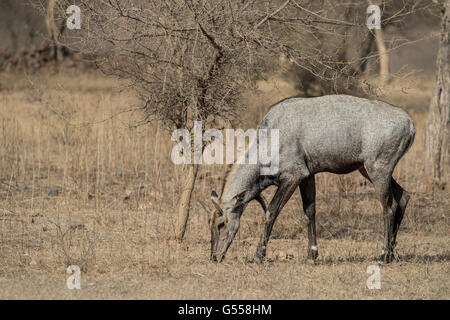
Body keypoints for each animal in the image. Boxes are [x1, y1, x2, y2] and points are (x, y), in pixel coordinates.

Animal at [203, 94, 414, 264]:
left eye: (221, 224)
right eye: (210, 225)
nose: (214, 257)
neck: (270, 138)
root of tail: (409, 123)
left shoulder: (293, 176)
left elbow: (271, 211)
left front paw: (258, 256)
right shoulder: (308, 176)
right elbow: (310, 210)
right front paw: (312, 255)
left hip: (378, 169)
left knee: (388, 206)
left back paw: (383, 255)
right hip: (367, 169)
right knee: (402, 196)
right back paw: (391, 253)